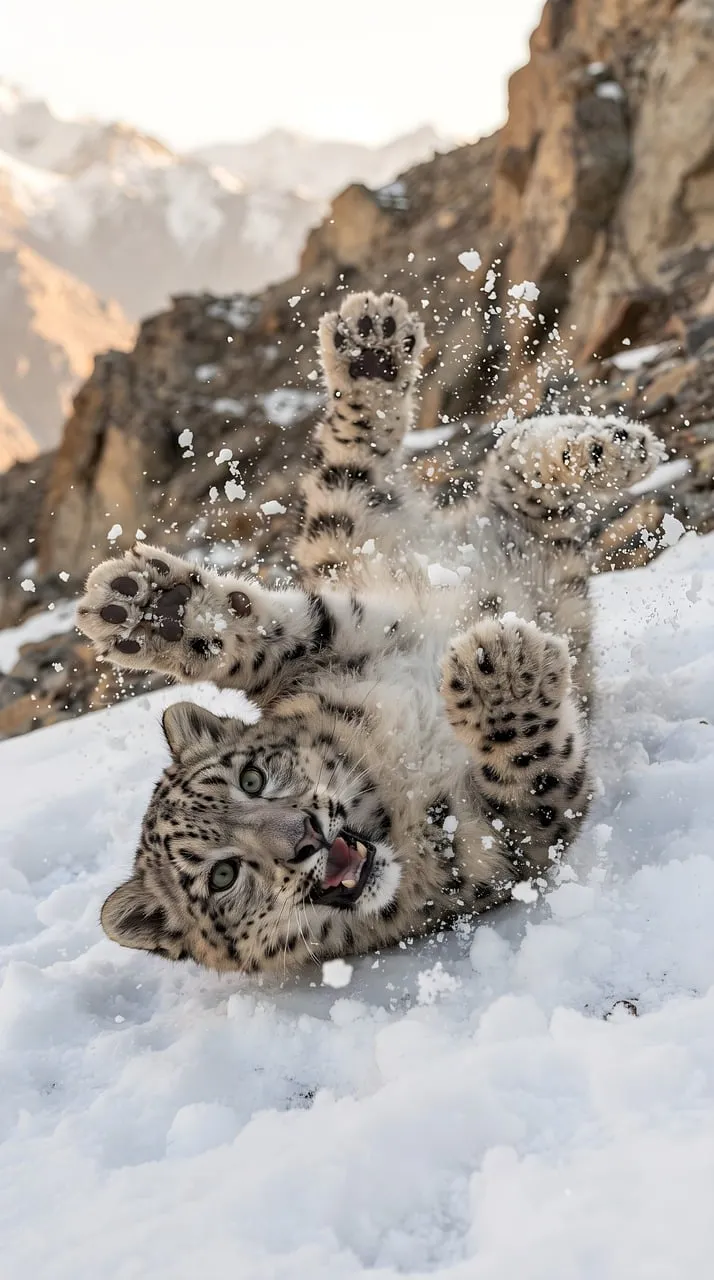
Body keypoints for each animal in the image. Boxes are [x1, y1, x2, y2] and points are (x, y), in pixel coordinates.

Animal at [76, 290, 662, 975]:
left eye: (252, 779)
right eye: (222, 876)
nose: (305, 837)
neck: (382, 782)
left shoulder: (329, 649)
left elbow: (263, 640)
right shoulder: (504, 844)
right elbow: (529, 768)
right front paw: (501, 667)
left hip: (351, 569)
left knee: (402, 472)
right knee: (518, 500)